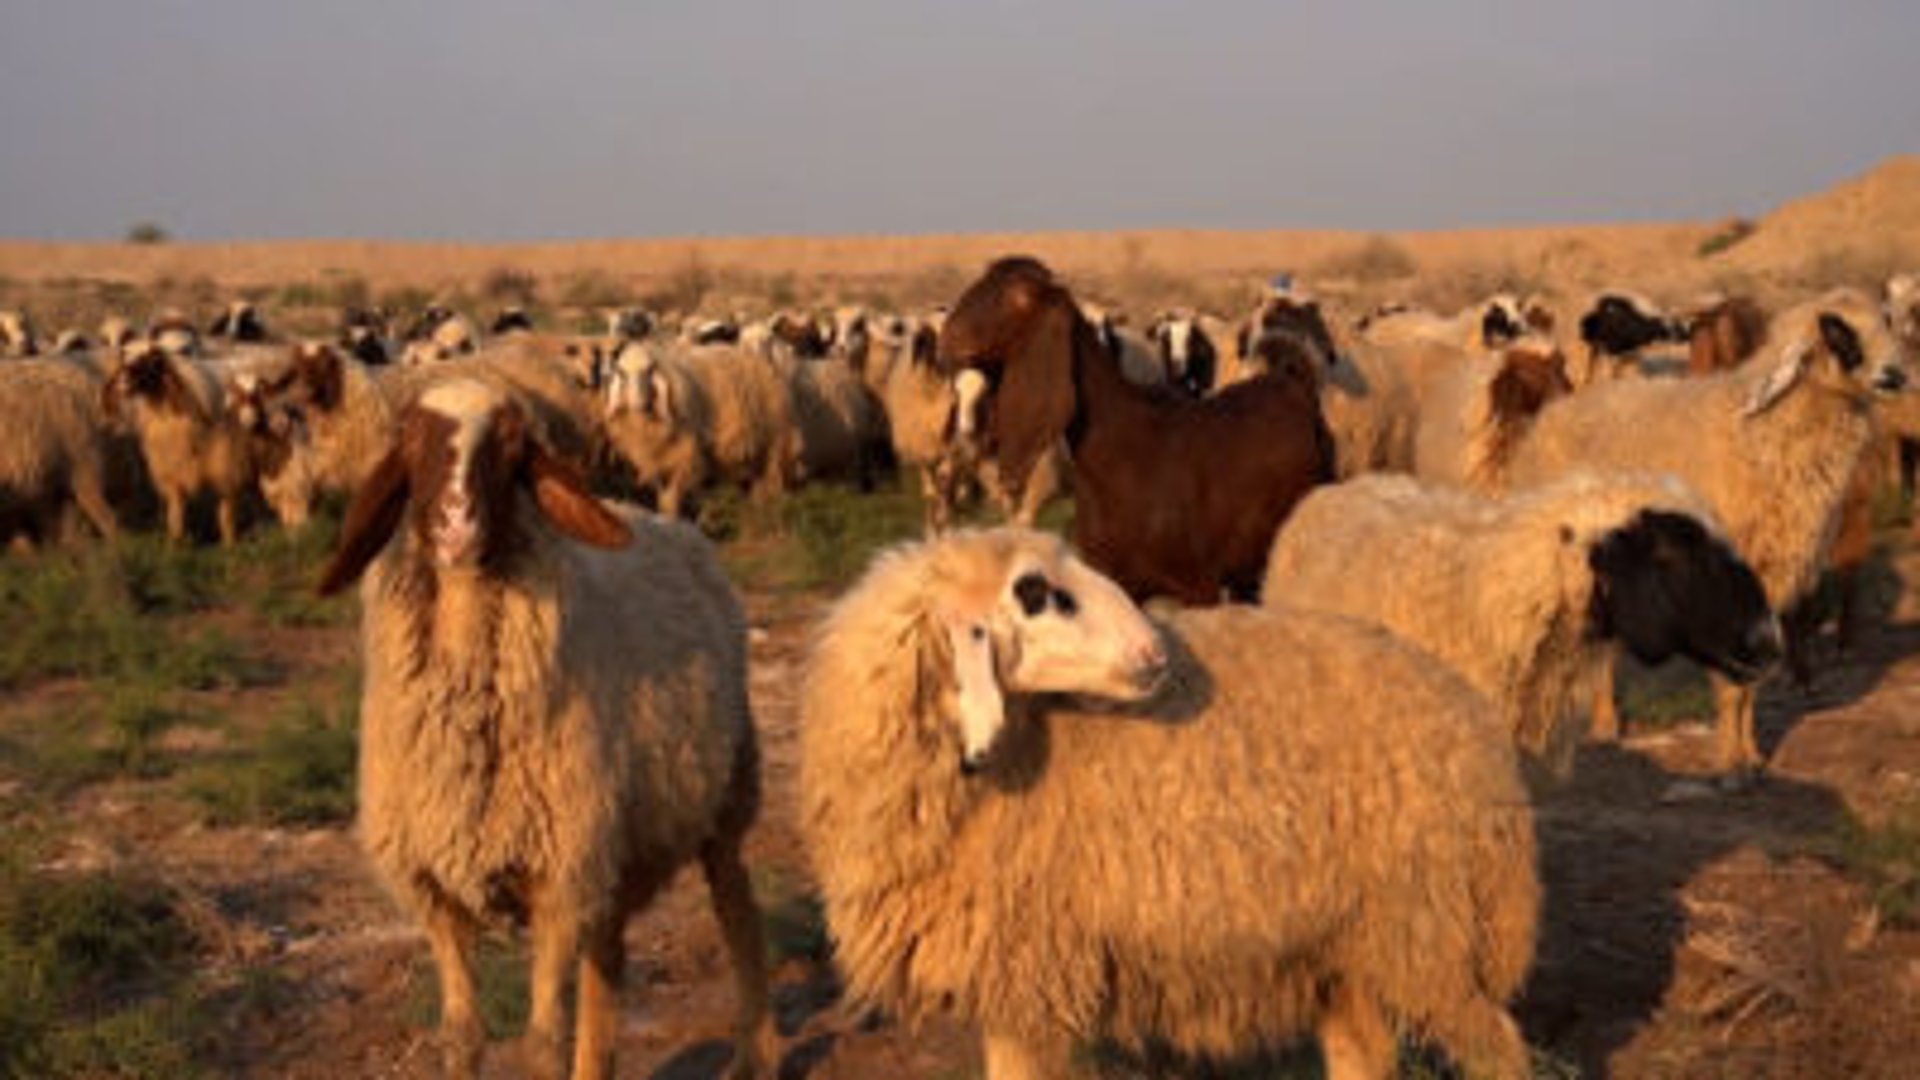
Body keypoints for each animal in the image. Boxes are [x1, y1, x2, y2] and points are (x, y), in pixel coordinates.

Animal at [99, 343, 258, 544]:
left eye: (149, 360)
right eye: (124, 357)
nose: (122, 382)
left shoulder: (223, 461)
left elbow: (226, 505)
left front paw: (230, 541)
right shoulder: (172, 466)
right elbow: (177, 505)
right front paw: (175, 540)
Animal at [315, 378, 774, 1080]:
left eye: (511, 445)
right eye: (412, 439)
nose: (456, 526)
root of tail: (669, 523)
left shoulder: (557, 880)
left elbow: (539, 1043)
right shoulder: (437, 891)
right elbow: (462, 1035)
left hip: (719, 799)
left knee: (738, 912)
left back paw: (756, 1052)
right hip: (611, 844)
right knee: (607, 965)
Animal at [800, 527, 1538, 1080]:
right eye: (1035, 593)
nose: (1155, 653)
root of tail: (1469, 714)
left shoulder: (1030, 968)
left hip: (1426, 927)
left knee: (1497, 1049)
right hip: (1347, 944)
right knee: (1363, 1049)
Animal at [942, 257, 1334, 603]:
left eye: (1018, 296)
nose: (947, 339)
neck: (1125, 444)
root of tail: (1292, 381)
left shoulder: (1198, 585)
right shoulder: (1120, 581)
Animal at [1503, 299, 1906, 776]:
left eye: (1886, 320)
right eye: (1836, 330)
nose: (1896, 375)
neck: (1764, 436)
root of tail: (1560, 409)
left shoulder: (1768, 585)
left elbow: (1750, 681)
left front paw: (1750, 754)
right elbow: (1732, 680)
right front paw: (1730, 765)